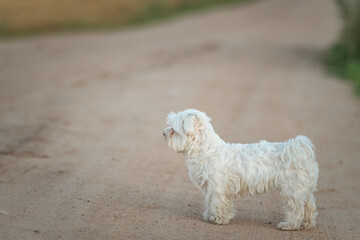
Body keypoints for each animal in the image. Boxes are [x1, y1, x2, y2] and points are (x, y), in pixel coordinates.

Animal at [163, 109, 318, 231]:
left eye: (174, 129)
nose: (163, 132)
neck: (207, 150)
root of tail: (300, 150)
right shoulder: (210, 188)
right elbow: (209, 202)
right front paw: (209, 215)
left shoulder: (217, 188)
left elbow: (217, 203)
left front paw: (218, 219)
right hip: (304, 190)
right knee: (309, 207)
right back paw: (307, 225)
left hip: (292, 190)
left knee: (297, 209)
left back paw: (289, 225)